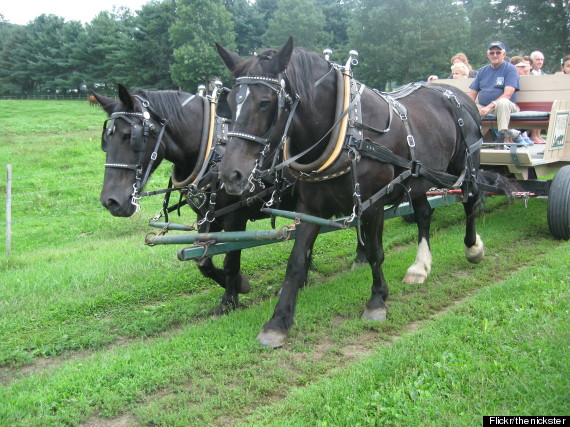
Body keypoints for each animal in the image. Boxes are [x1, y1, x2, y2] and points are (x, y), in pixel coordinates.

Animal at [93, 83, 280, 314]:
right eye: (105, 140)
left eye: (130, 136)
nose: (110, 201)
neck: (212, 152)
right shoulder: (205, 217)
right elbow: (204, 261)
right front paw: (240, 284)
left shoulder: (235, 219)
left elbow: (230, 262)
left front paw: (229, 301)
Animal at [214, 37, 488, 348]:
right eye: (229, 103)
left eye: (264, 103)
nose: (230, 174)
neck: (345, 132)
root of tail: (456, 93)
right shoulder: (309, 209)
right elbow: (295, 261)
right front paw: (278, 321)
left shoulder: (373, 205)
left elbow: (375, 252)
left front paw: (377, 300)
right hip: (418, 177)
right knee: (423, 215)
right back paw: (420, 267)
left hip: (466, 165)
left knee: (469, 201)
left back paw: (473, 248)